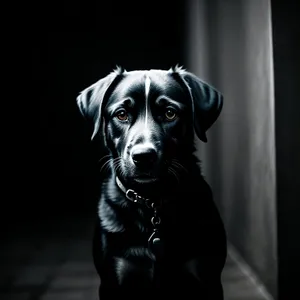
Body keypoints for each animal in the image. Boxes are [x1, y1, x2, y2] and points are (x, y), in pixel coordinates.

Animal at [76, 65, 226, 298]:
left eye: (170, 113)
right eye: (121, 114)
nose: (143, 156)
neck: (151, 200)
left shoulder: (206, 276)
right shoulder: (114, 278)